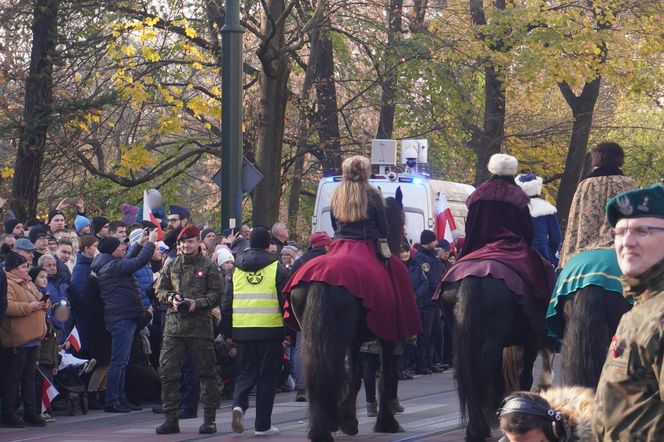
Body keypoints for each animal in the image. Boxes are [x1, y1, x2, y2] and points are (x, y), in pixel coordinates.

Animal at [290, 193, 410, 442]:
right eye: (403, 220)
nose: (406, 246)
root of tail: (321, 279)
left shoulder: (355, 342)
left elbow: (354, 376)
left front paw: (348, 420)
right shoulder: (388, 337)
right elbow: (385, 377)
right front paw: (387, 422)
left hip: (313, 338)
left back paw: (322, 425)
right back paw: (324, 428)